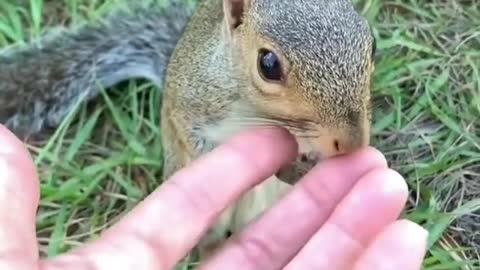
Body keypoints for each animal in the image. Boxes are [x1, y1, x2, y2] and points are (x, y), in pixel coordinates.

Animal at [0, 0, 376, 260]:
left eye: (372, 43)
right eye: (268, 65)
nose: (353, 142)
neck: (256, 113)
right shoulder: (188, 102)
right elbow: (193, 141)